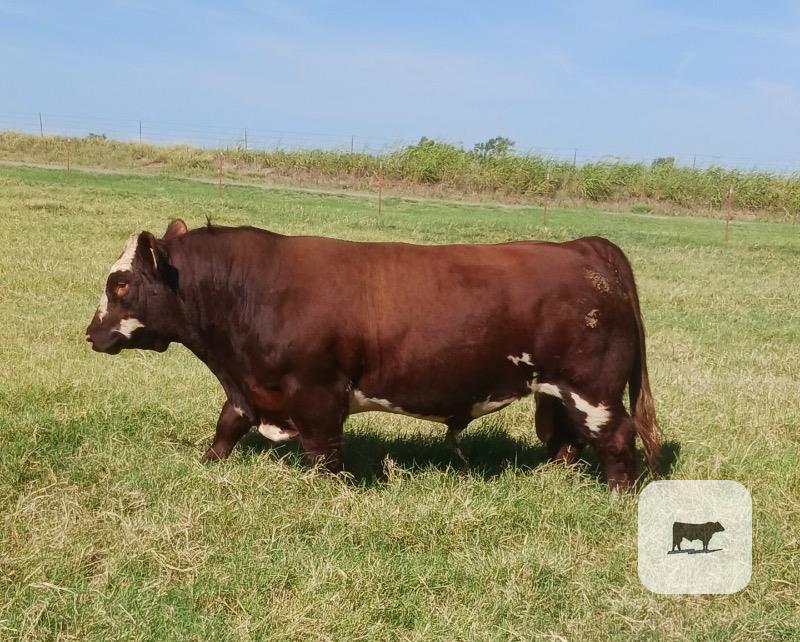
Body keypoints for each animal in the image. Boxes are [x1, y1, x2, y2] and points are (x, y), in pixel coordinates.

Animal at [85, 219, 661, 490]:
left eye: (120, 285)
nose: (91, 334)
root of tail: (581, 247)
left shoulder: (315, 390)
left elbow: (322, 451)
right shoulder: (253, 387)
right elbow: (228, 423)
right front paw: (208, 463)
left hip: (592, 385)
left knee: (615, 436)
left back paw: (619, 494)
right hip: (561, 389)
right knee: (569, 439)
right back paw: (552, 480)